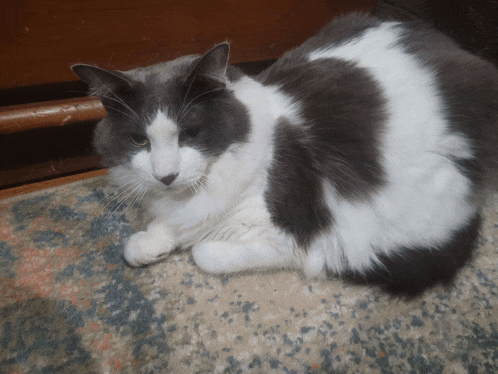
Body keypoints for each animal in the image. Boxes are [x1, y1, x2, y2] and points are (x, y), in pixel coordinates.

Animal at [71, 12, 498, 298]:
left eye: (190, 133)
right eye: (138, 141)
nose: (166, 176)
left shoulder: (295, 240)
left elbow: (203, 252)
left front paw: (183, 244)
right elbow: (145, 239)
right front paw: (152, 244)